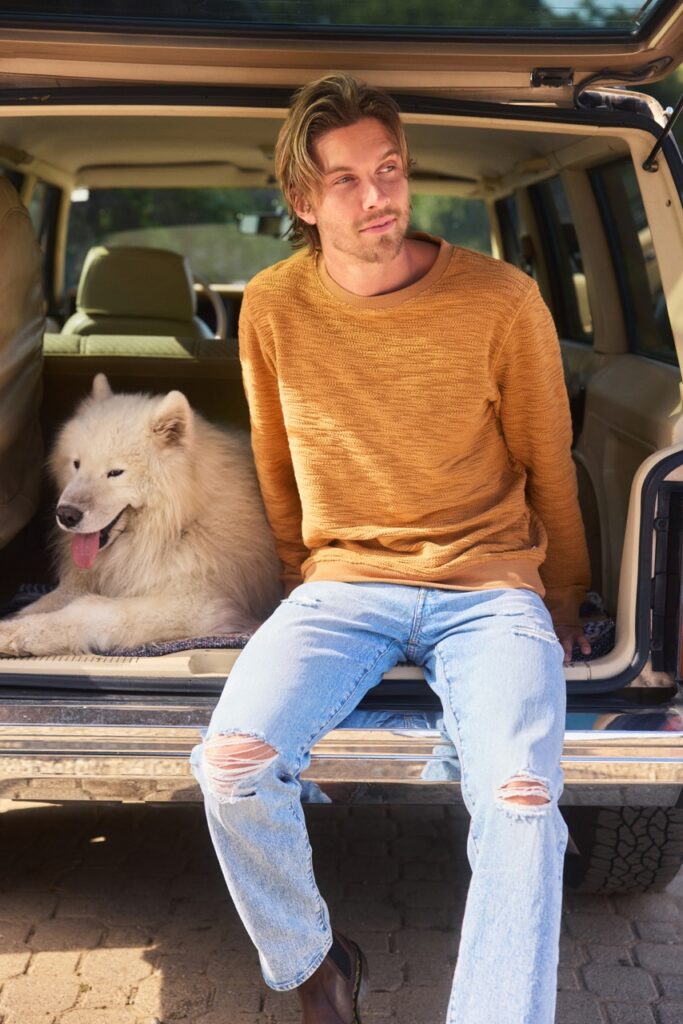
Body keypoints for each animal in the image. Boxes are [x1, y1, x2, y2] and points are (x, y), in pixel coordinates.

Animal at [0, 376, 280, 655]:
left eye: (115, 472)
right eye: (76, 464)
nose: (66, 514)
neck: (180, 523)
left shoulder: (197, 604)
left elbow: (88, 609)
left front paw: (16, 633)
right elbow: (47, 601)